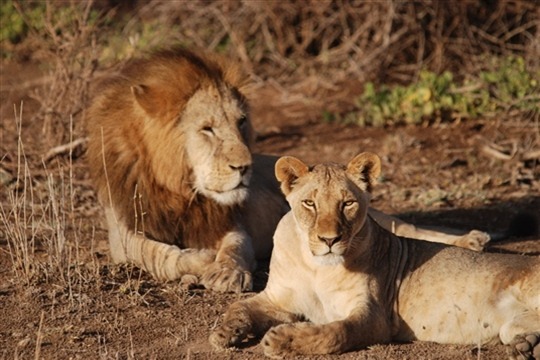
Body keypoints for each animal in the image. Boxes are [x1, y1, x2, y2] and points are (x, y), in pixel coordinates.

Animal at [85, 49, 490, 294]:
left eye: (241, 122)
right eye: (207, 129)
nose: (244, 166)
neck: (181, 189)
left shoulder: (231, 223)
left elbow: (234, 248)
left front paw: (226, 271)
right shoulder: (123, 235)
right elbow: (154, 254)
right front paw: (199, 261)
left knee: (408, 229)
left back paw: (472, 240)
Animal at [211, 153, 540, 358]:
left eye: (347, 204)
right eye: (309, 204)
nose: (329, 239)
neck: (316, 266)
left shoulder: (375, 315)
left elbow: (336, 332)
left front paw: (283, 339)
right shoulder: (278, 300)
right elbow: (239, 307)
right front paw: (225, 332)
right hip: (511, 327)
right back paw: (526, 346)